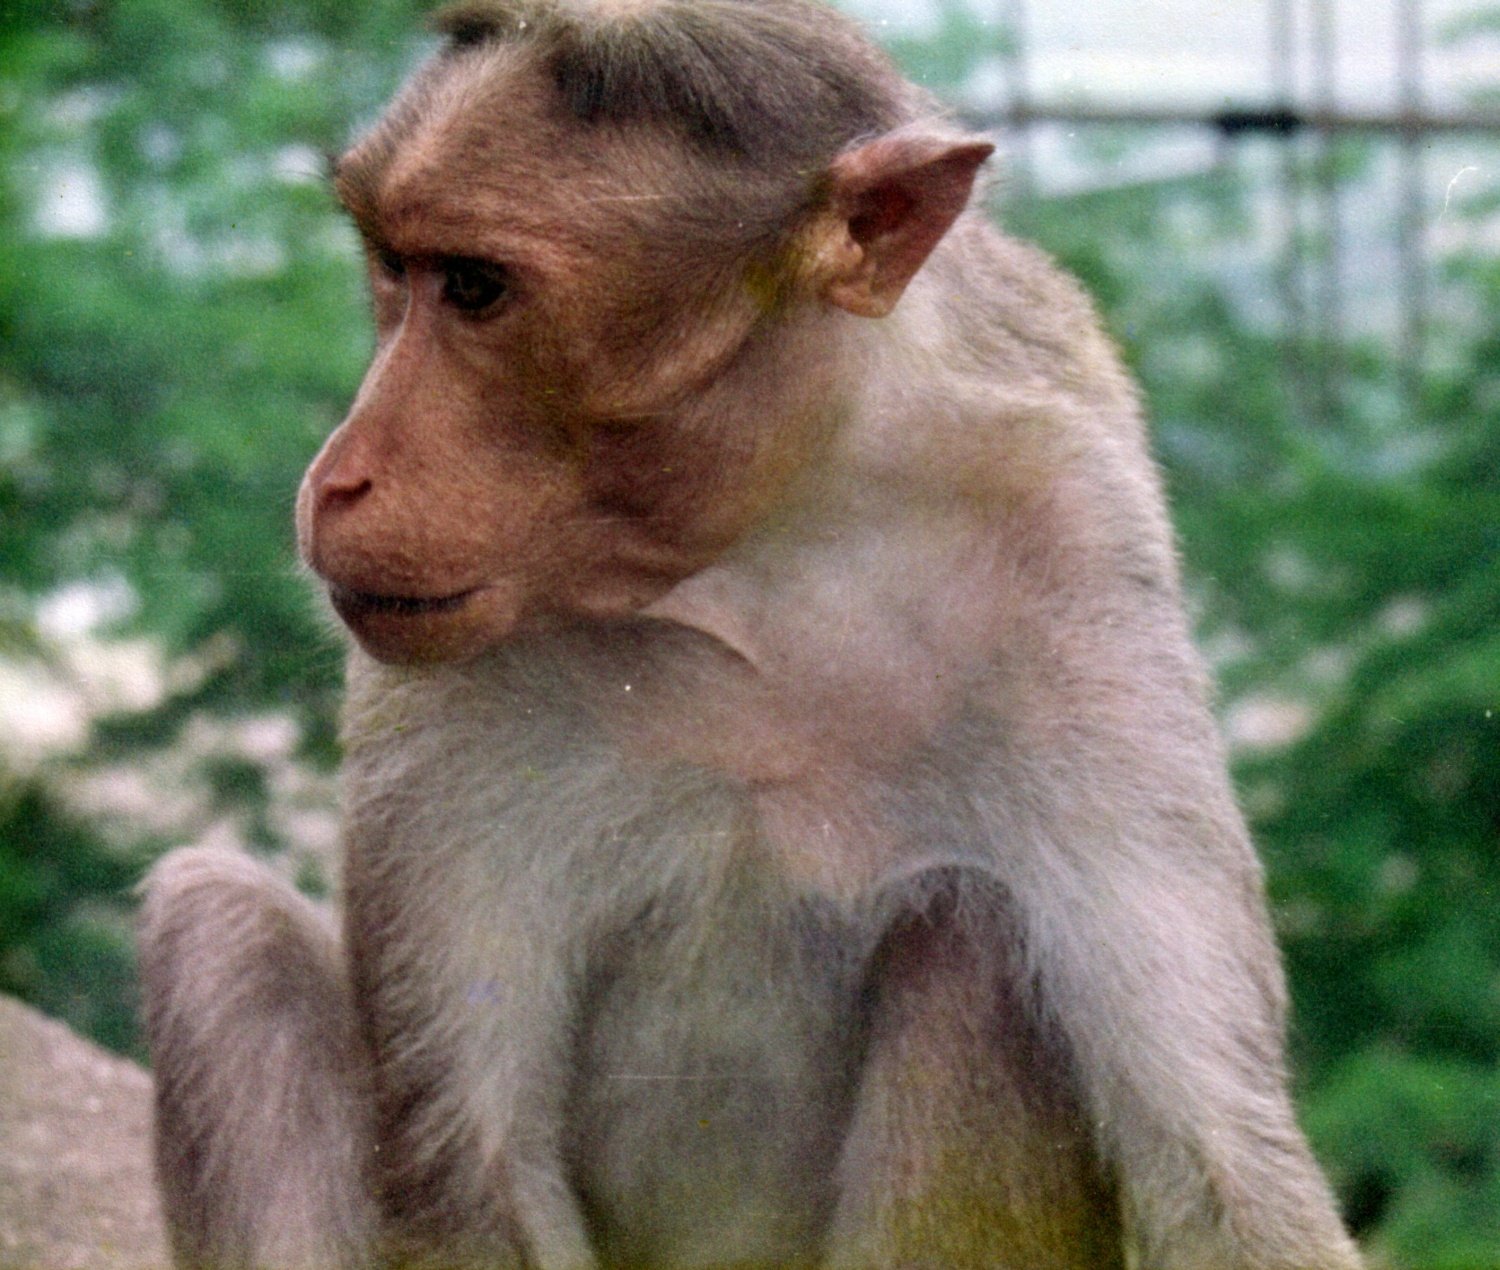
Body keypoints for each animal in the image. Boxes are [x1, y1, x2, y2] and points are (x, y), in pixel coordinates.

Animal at [136, 1, 1364, 1267]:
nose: (337, 480)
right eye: (393, 267)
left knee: (973, 932)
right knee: (220, 922)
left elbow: (1214, 1145)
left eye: (473, 287)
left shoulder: (1079, 548)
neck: (767, 559)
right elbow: (465, 1162)